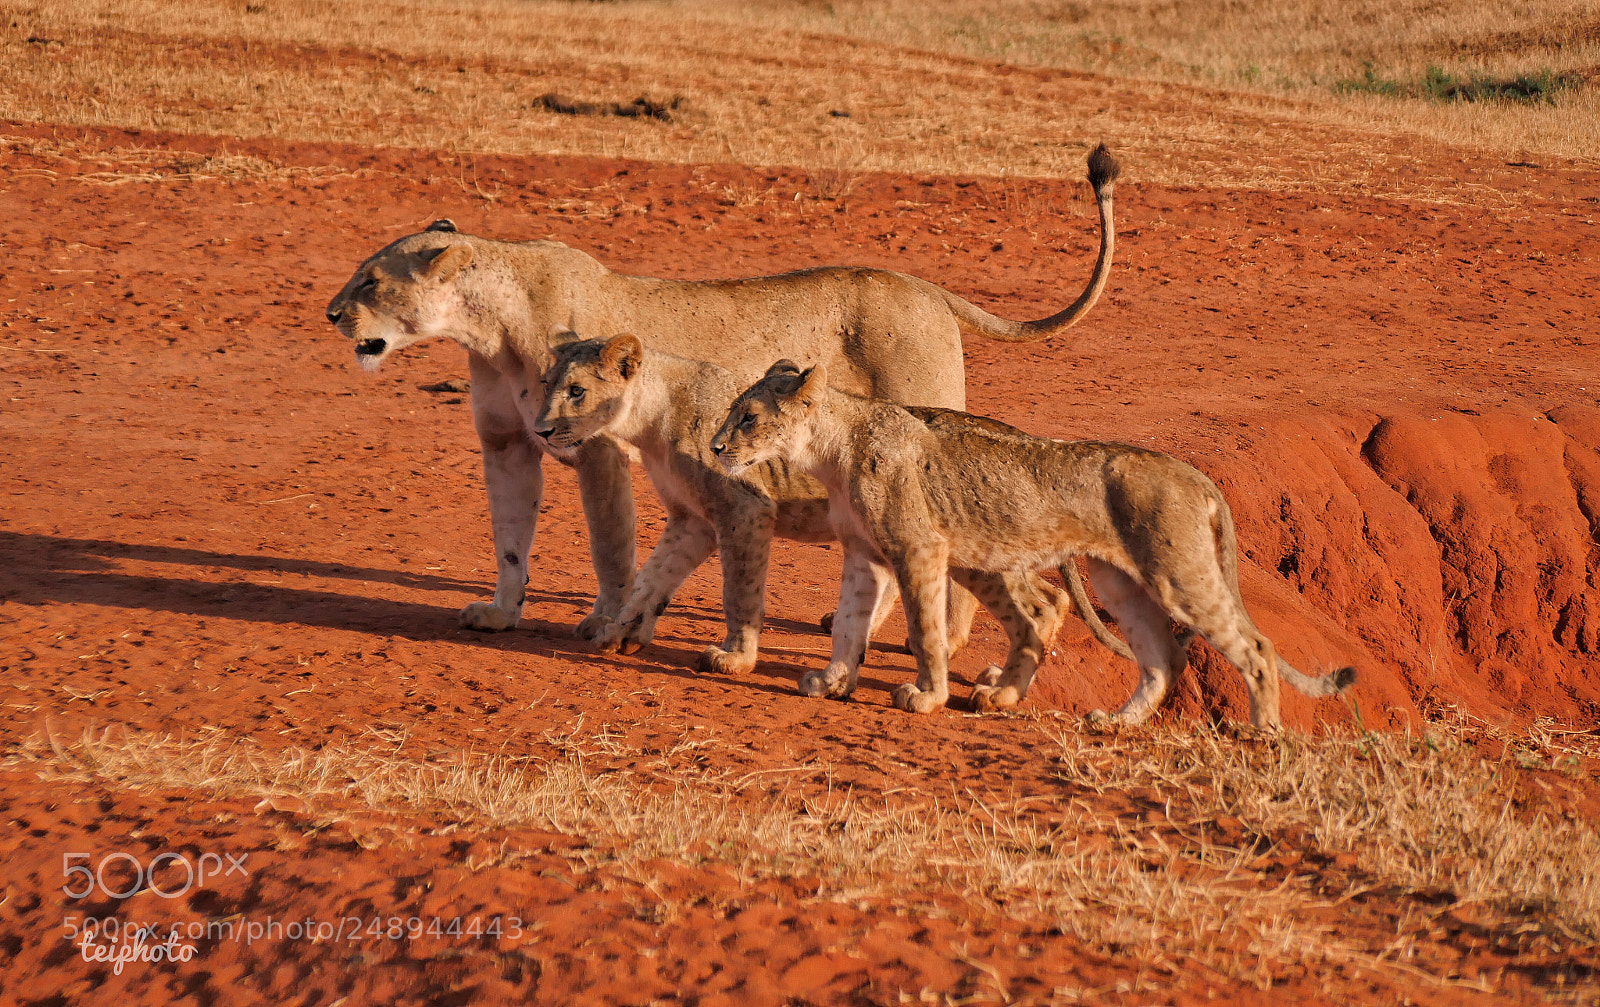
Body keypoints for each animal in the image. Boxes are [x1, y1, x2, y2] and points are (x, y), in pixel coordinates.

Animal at [324, 145, 1120, 642]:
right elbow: (510, 537)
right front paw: (499, 611)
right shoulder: (508, 444)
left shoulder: (596, 447)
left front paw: (604, 619)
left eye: (371, 281)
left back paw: (940, 640)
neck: (489, 326)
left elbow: (610, 544)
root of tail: (926, 285)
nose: (331, 314)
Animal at [533, 333, 1130, 688]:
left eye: (577, 391)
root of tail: (1021, 439)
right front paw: (618, 631)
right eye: (545, 385)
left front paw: (735, 657)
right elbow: (651, 579)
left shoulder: (745, 510)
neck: (651, 420)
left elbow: (739, 593)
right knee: (1047, 597)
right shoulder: (693, 522)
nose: (540, 429)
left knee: (1041, 601)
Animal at [708, 362, 1357, 730]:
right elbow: (848, 622)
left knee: (1256, 646)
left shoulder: (918, 549)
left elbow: (925, 629)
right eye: (732, 411)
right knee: (1162, 659)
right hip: (1120, 581)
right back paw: (1116, 723)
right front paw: (832, 682)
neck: (832, 448)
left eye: (749, 416)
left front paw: (927, 696)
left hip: (1179, 572)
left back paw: (1261, 732)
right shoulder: (864, 553)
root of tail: (1194, 474)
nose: (715, 448)